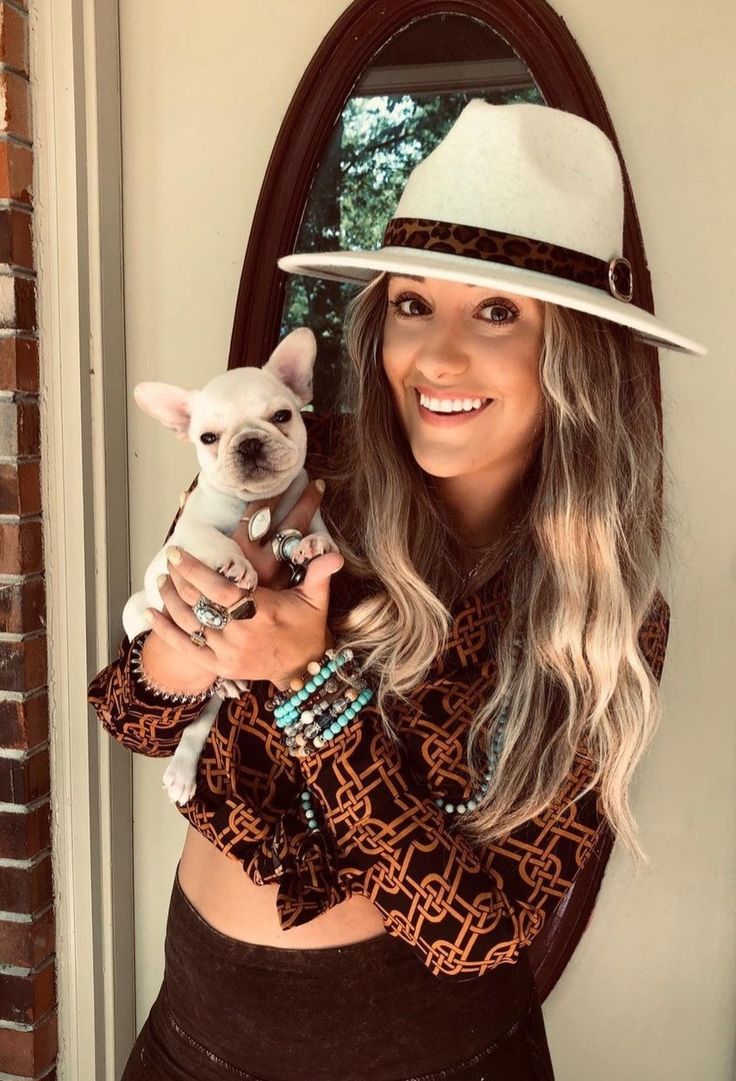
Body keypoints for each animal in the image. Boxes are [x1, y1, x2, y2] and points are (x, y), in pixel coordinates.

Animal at [121, 326, 339, 804]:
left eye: (282, 415)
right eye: (207, 438)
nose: (250, 442)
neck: (252, 502)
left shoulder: (305, 497)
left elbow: (317, 525)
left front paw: (313, 544)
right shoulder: (185, 535)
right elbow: (213, 538)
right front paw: (236, 564)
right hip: (136, 610)